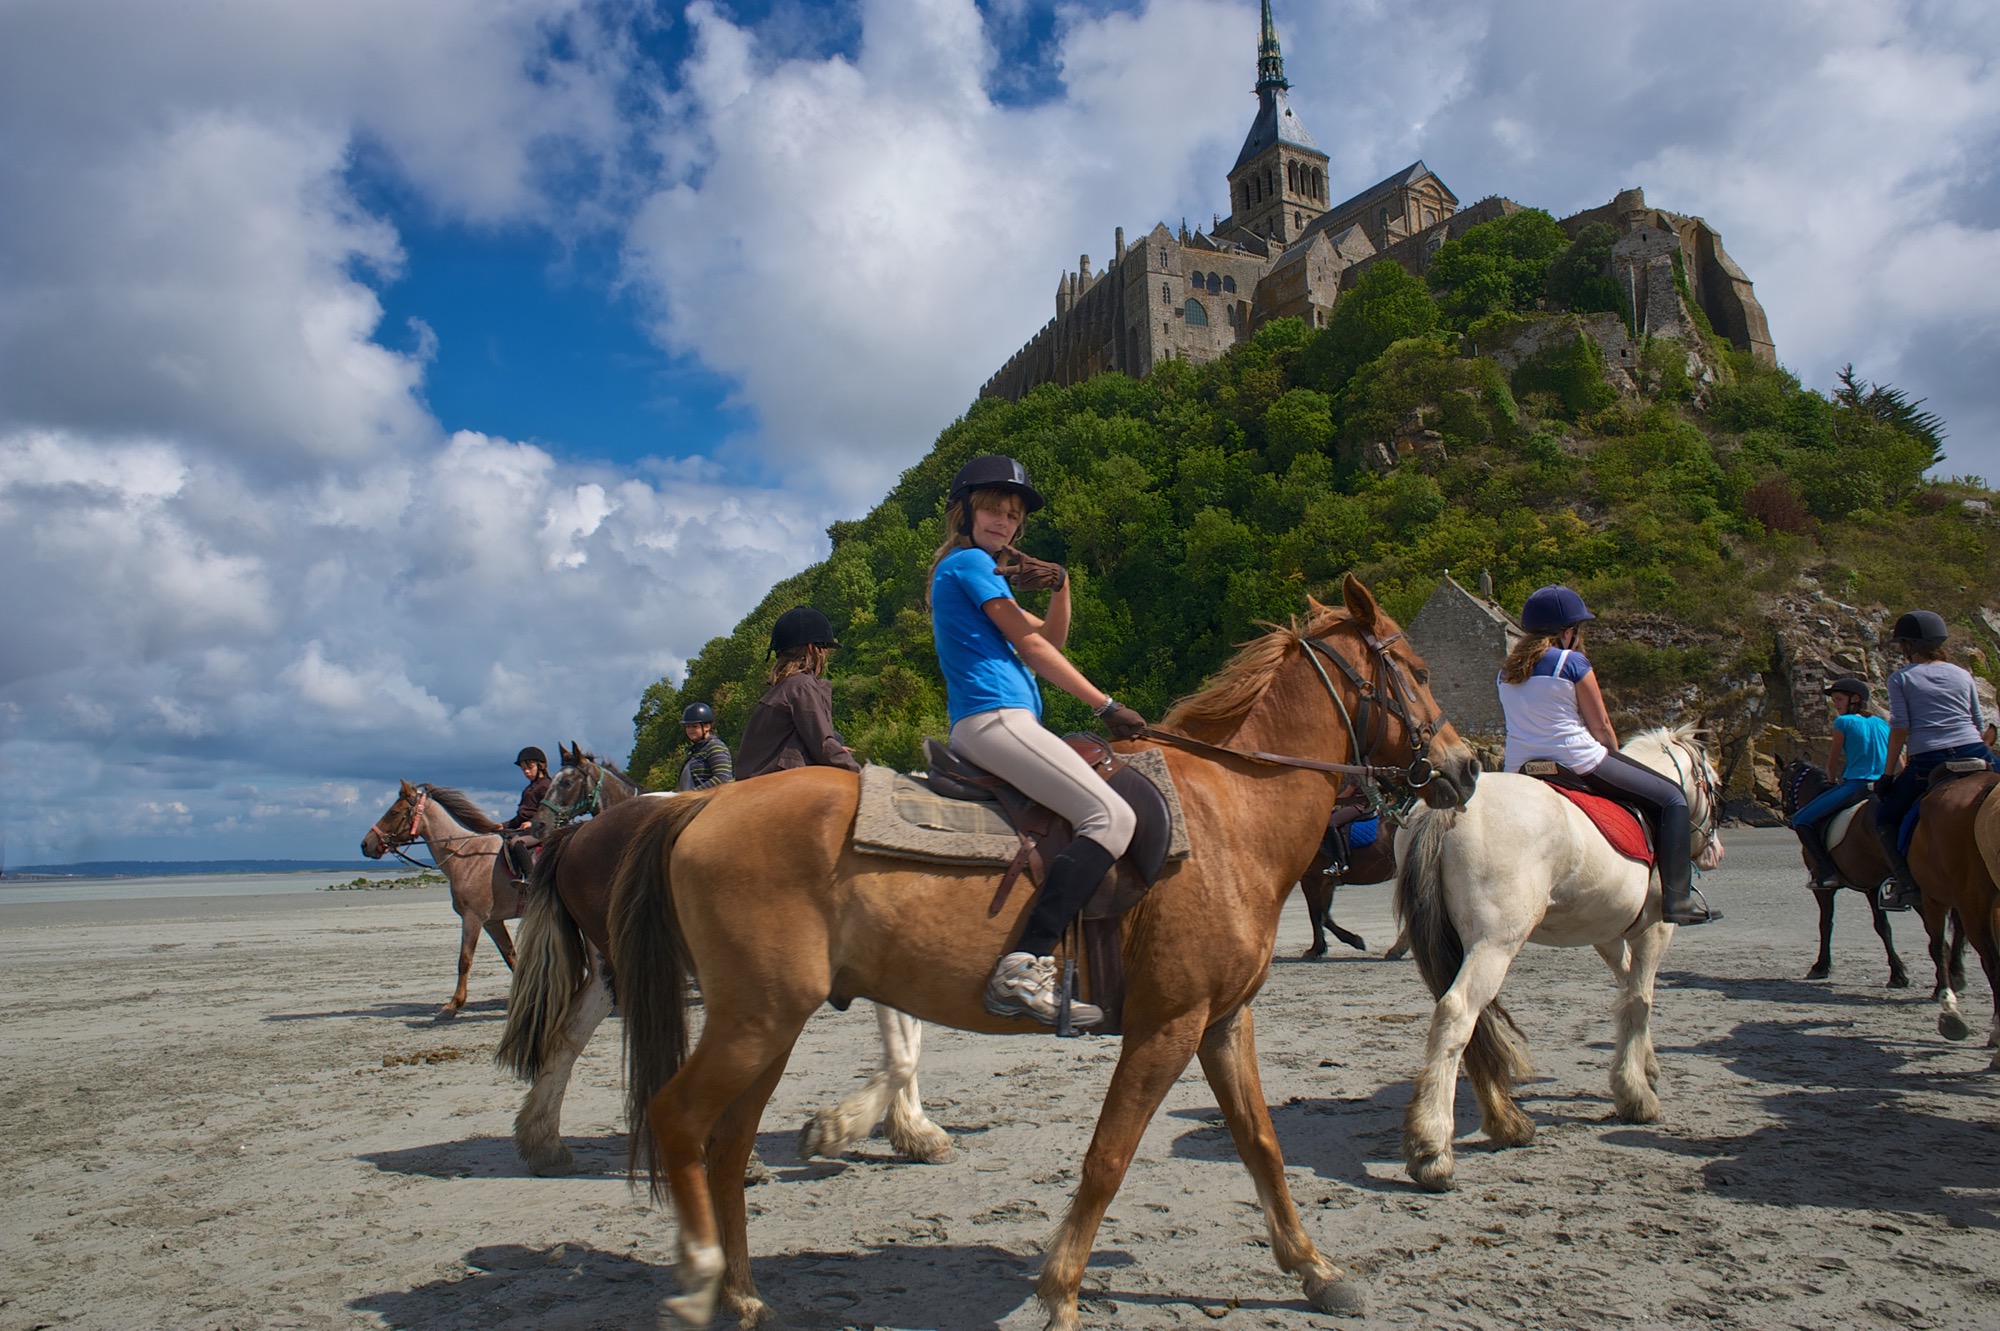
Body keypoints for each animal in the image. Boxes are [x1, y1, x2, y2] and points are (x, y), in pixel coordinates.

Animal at [362, 771, 524, 1011]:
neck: (466, 857)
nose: (365, 844)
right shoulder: (492, 922)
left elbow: (465, 959)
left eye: (393, 812)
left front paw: (454, 1003)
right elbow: (511, 957)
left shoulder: (473, 918)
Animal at [600, 579, 1480, 1327]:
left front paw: (1316, 1270)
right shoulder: (1166, 1025)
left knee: (726, 1147)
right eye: (1419, 669)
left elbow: (1261, 1144)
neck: (1228, 812)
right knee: (678, 1119)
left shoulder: (1223, 1021)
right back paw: (701, 1280)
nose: (1467, 765)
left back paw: (745, 1293)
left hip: (769, 1027)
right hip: (755, 1021)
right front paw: (1060, 1290)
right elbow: (1109, 1156)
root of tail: (701, 807)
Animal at [1384, 731, 1728, 1183]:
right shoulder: (1655, 930)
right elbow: (1640, 1001)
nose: (1715, 852)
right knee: (1457, 1013)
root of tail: (1447, 808)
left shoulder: (1606, 934)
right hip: (1496, 942)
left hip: (1454, 942)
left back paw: (1506, 1123)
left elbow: (1627, 992)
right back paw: (1433, 1147)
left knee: (1472, 1023)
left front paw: (1645, 1066)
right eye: (1716, 786)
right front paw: (1635, 1095)